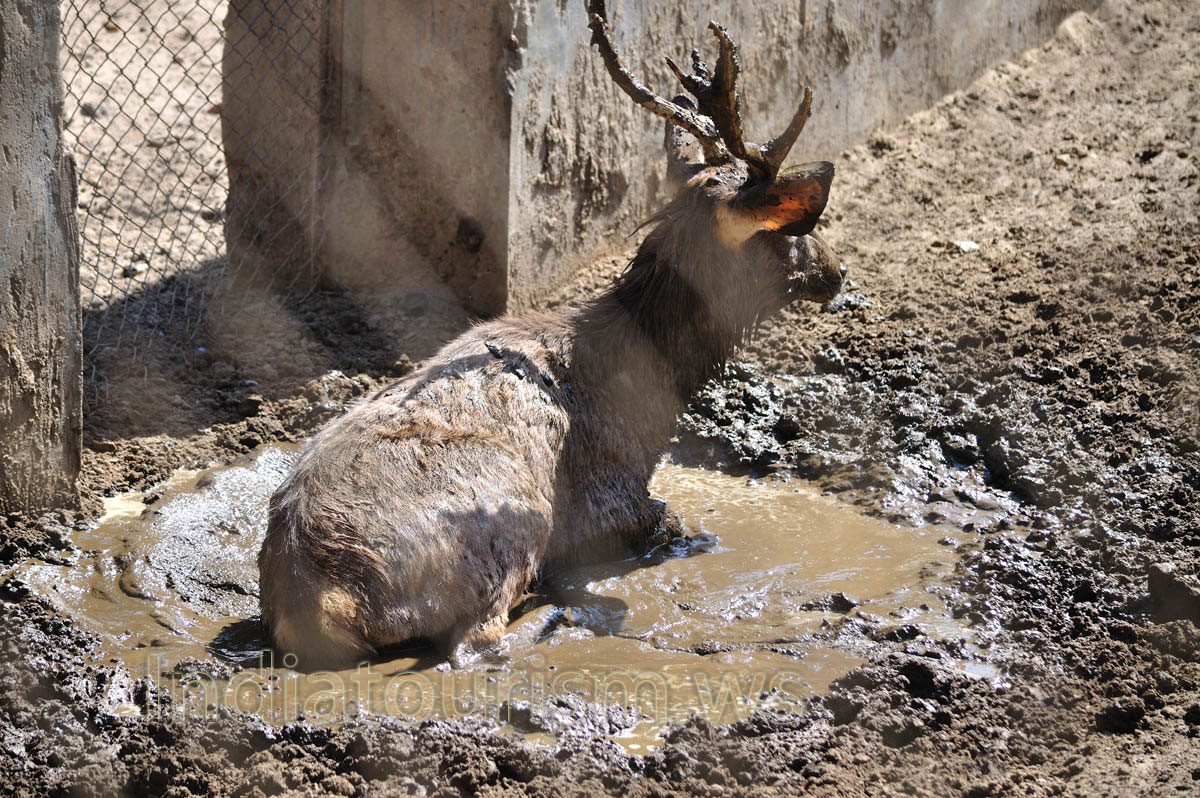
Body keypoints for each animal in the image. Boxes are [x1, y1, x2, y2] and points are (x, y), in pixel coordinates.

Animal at [257, 0, 843, 669]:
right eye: (793, 227)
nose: (837, 270)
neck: (653, 382)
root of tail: (324, 600)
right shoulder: (610, 494)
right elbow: (669, 522)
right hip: (510, 516)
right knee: (474, 640)